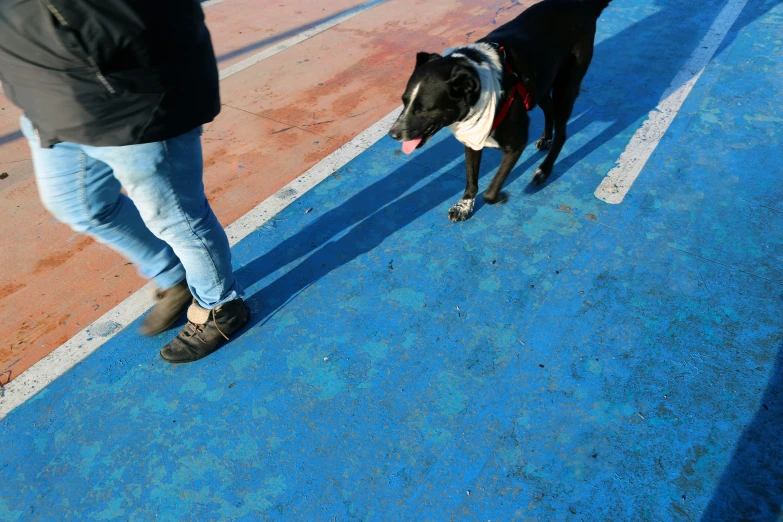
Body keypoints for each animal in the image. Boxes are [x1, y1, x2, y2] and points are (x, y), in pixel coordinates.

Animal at [392, 0, 612, 220]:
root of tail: (581, 4)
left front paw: (499, 197)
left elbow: (490, 192)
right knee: (548, 109)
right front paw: (464, 204)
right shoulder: (472, 138)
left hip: (565, 88)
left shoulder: (516, 145)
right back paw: (545, 138)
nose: (393, 134)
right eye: (404, 101)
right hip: (540, 84)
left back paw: (544, 169)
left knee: (562, 133)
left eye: (424, 109)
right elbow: (471, 177)